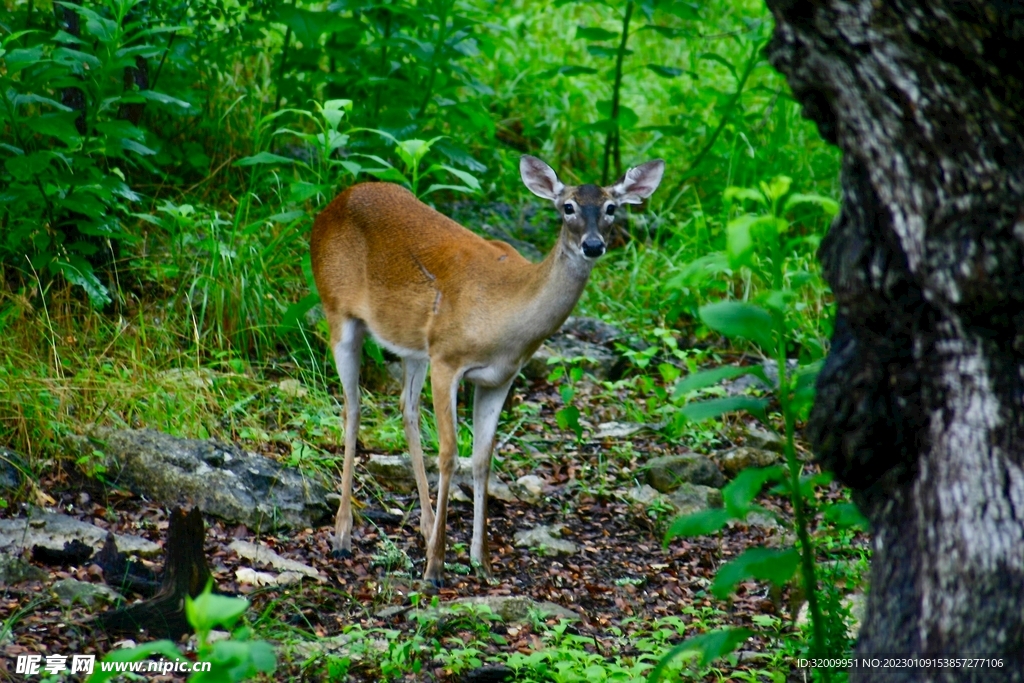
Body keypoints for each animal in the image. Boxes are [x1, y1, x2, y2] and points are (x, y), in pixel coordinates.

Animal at [310, 155, 665, 585]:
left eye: (612, 207)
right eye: (567, 207)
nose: (593, 245)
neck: (504, 318)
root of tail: (331, 206)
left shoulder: (499, 378)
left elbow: (482, 460)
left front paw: (482, 560)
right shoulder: (447, 359)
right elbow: (449, 454)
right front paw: (435, 568)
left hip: (412, 345)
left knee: (405, 409)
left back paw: (425, 526)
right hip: (337, 310)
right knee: (353, 408)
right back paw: (343, 536)